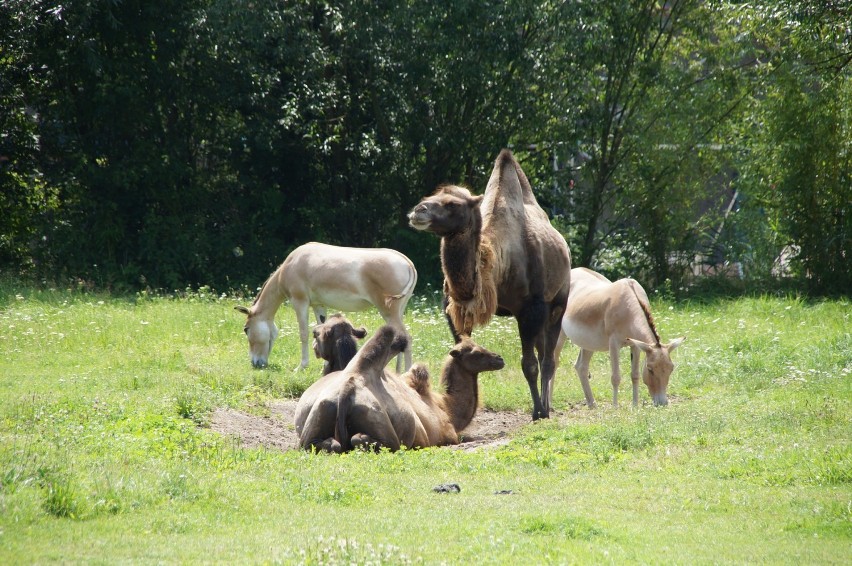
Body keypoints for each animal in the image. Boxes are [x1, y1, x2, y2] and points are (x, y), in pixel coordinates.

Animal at [294, 326, 502, 454]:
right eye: (476, 352)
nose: (499, 358)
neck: (446, 407)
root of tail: (347, 390)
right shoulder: (449, 436)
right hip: (383, 426)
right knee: (362, 440)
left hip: (319, 414)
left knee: (327, 444)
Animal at [408, 149, 568, 420]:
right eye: (429, 196)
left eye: (453, 204)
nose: (418, 211)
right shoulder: (455, 309)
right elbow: (460, 348)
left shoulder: (531, 308)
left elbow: (529, 364)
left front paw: (537, 412)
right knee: (543, 349)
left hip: (558, 301)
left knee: (548, 358)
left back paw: (546, 408)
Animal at [552, 268, 684, 408]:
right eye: (650, 369)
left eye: (671, 368)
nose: (662, 403)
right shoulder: (614, 343)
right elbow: (615, 377)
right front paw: (615, 407)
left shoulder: (635, 345)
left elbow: (635, 375)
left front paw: (635, 405)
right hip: (560, 335)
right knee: (554, 363)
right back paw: (549, 404)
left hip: (588, 342)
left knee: (581, 367)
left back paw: (592, 404)